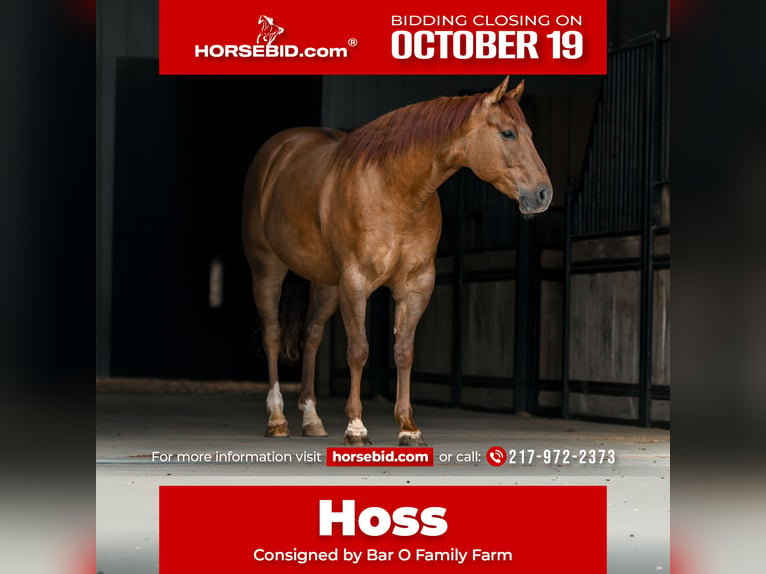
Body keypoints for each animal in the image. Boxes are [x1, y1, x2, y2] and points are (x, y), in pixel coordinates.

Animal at [242, 77, 552, 446]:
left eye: (530, 134)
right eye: (507, 133)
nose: (544, 194)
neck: (394, 189)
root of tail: (278, 151)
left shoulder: (416, 284)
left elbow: (404, 351)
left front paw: (408, 427)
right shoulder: (355, 281)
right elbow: (359, 350)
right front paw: (356, 427)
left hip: (325, 282)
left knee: (312, 337)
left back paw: (312, 419)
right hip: (267, 269)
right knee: (273, 334)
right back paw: (277, 419)